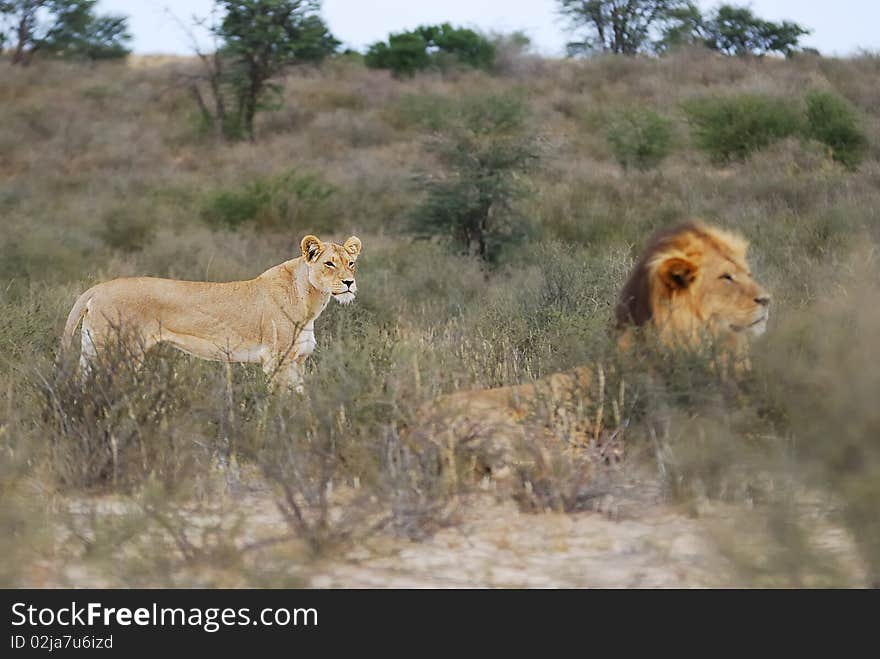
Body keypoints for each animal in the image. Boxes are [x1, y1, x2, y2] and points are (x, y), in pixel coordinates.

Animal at [62, 233, 362, 392]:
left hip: (93, 350)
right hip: (119, 352)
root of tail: (97, 288)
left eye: (351, 263)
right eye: (329, 264)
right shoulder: (277, 361)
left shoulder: (298, 361)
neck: (310, 301)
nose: (349, 283)